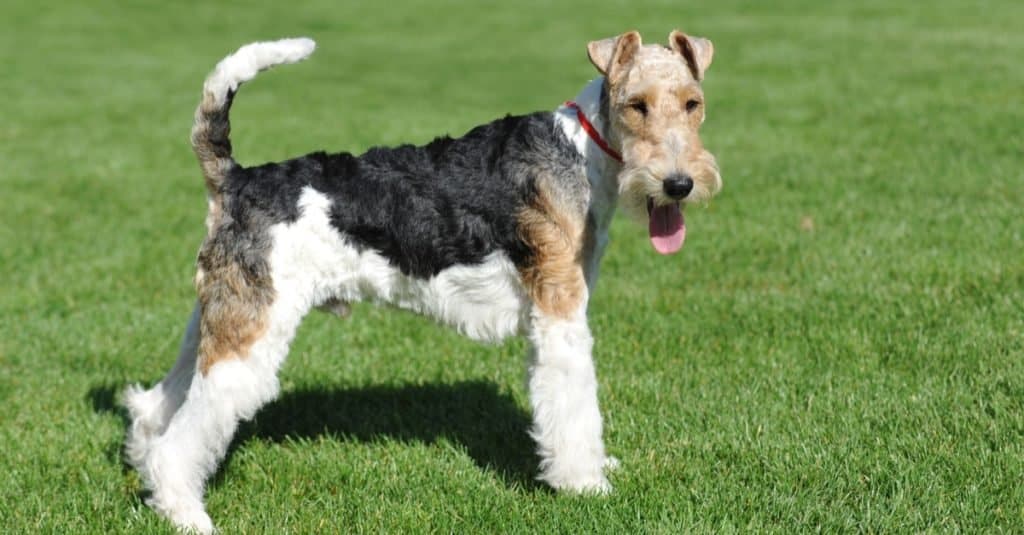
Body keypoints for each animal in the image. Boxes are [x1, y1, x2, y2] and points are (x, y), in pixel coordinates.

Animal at [121, 31, 720, 528]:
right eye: (636, 105)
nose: (679, 184)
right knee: (181, 439)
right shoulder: (561, 311)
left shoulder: (550, 314)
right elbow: (575, 405)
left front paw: (597, 468)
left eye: (693, 103)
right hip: (250, 334)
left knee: (156, 408)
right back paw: (189, 516)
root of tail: (235, 179)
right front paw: (585, 485)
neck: (580, 151)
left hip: (218, 317)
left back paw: (152, 483)